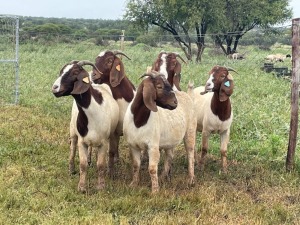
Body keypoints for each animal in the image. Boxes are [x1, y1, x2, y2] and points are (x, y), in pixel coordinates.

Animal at [52, 59, 119, 192]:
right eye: (61, 71)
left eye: (75, 72)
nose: (54, 88)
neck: (93, 111)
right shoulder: (82, 141)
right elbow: (82, 165)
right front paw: (82, 187)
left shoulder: (103, 142)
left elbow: (101, 165)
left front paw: (101, 186)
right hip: (73, 131)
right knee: (72, 149)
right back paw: (71, 169)